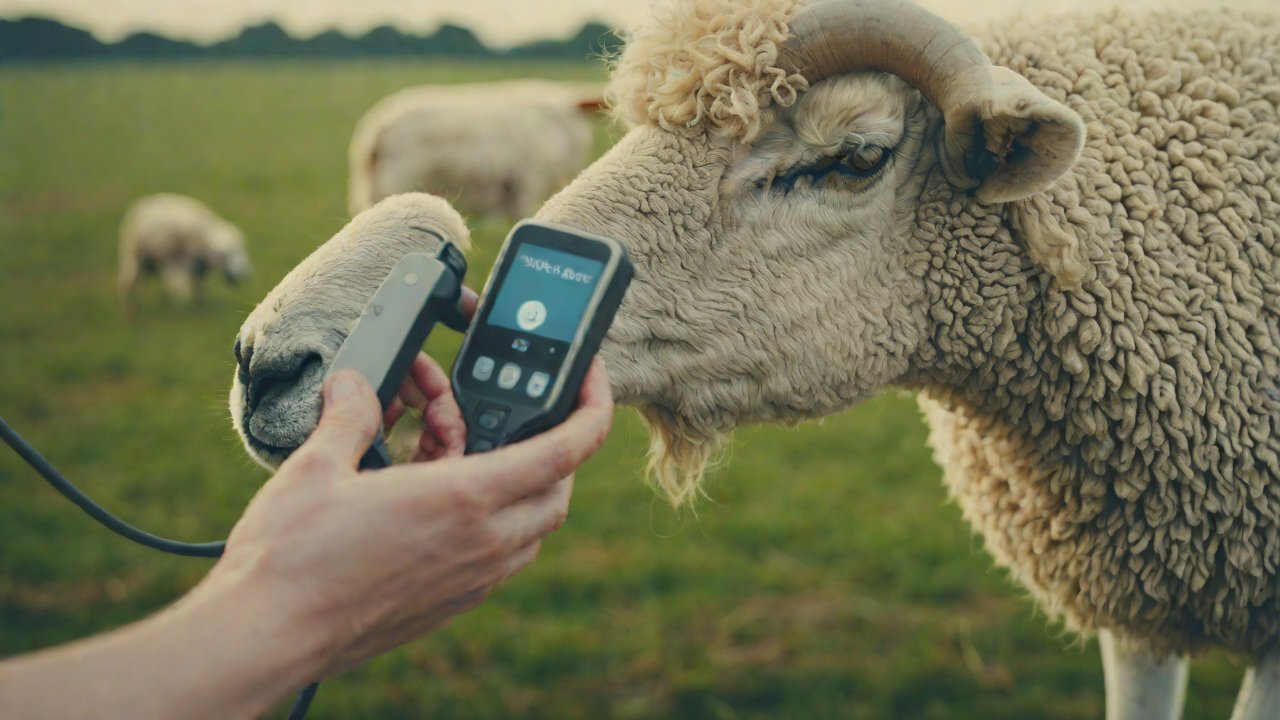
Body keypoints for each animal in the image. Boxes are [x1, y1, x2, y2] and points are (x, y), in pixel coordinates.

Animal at [117, 193, 251, 309]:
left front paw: (200, 305)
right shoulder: (179, 262)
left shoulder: (198, 268)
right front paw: (181, 308)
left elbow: (199, 287)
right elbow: (179, 287)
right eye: (228, 253)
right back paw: (130, 309)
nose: (244, 274)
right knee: (129, 283)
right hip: (134, 255)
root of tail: (141, 204)